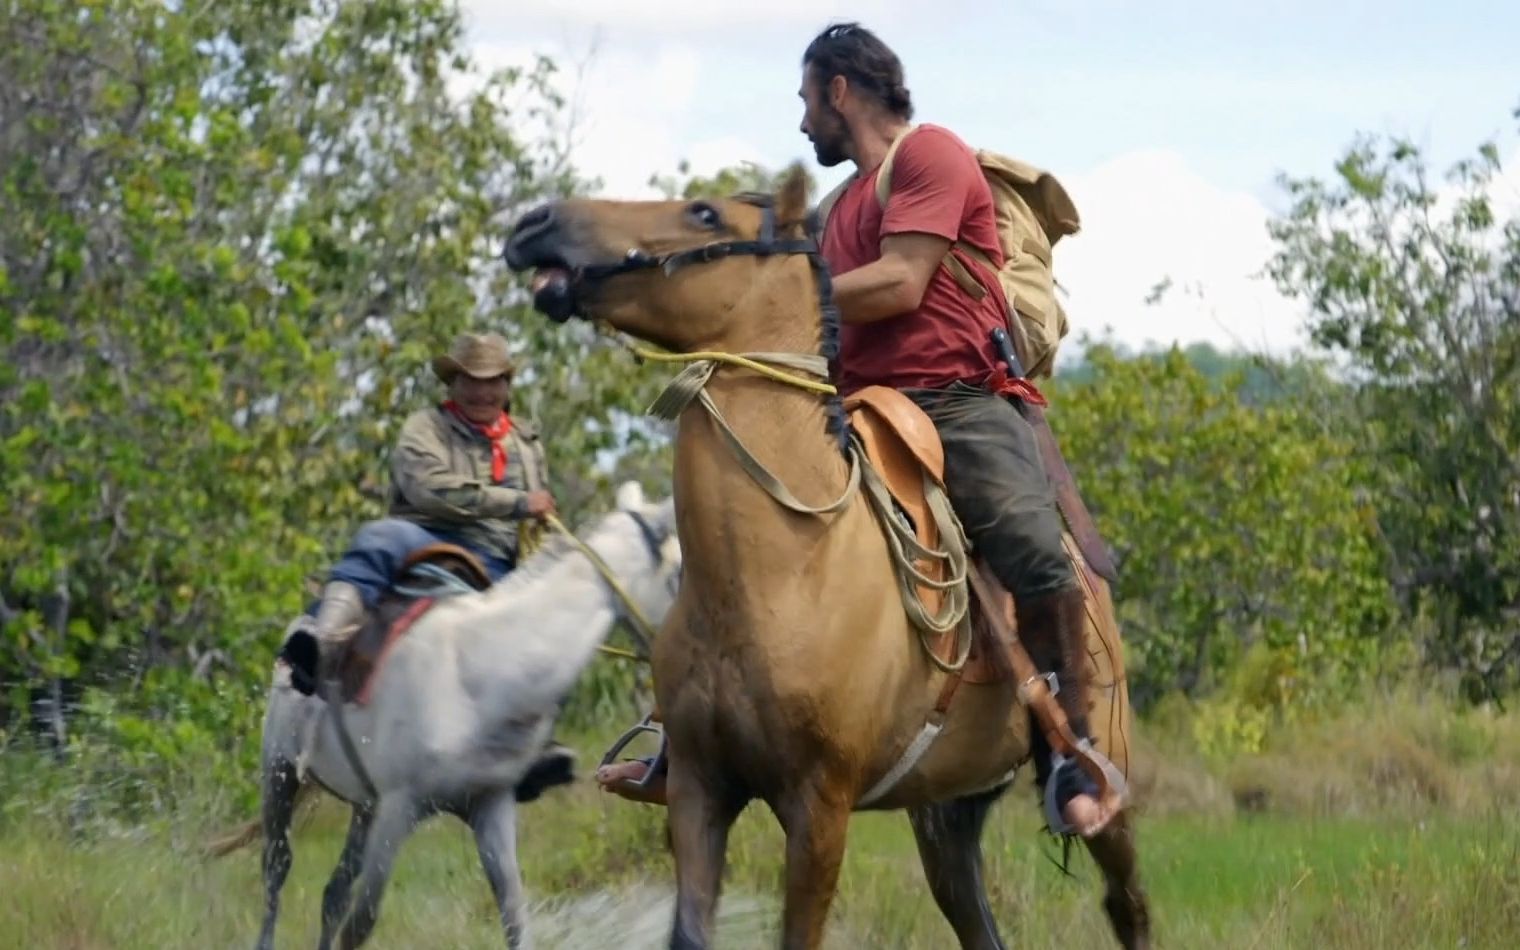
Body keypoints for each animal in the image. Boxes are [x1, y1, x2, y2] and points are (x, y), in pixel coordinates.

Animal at [218, 486, 677, 942]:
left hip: (365, 807)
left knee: (333, 893)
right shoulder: (400, 808)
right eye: (677, 574)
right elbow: (361, 922)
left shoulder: (490, 806)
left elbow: (514, 916)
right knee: (276, 875)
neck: (479, 672)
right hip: (279, 774)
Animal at [504, 166, 1143, 942]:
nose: (534, 224)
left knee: (1127, 903)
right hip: (947, 809)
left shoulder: (819, 807)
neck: (782, 574)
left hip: (1105, 780)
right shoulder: (698, 789)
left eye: (704, 213)